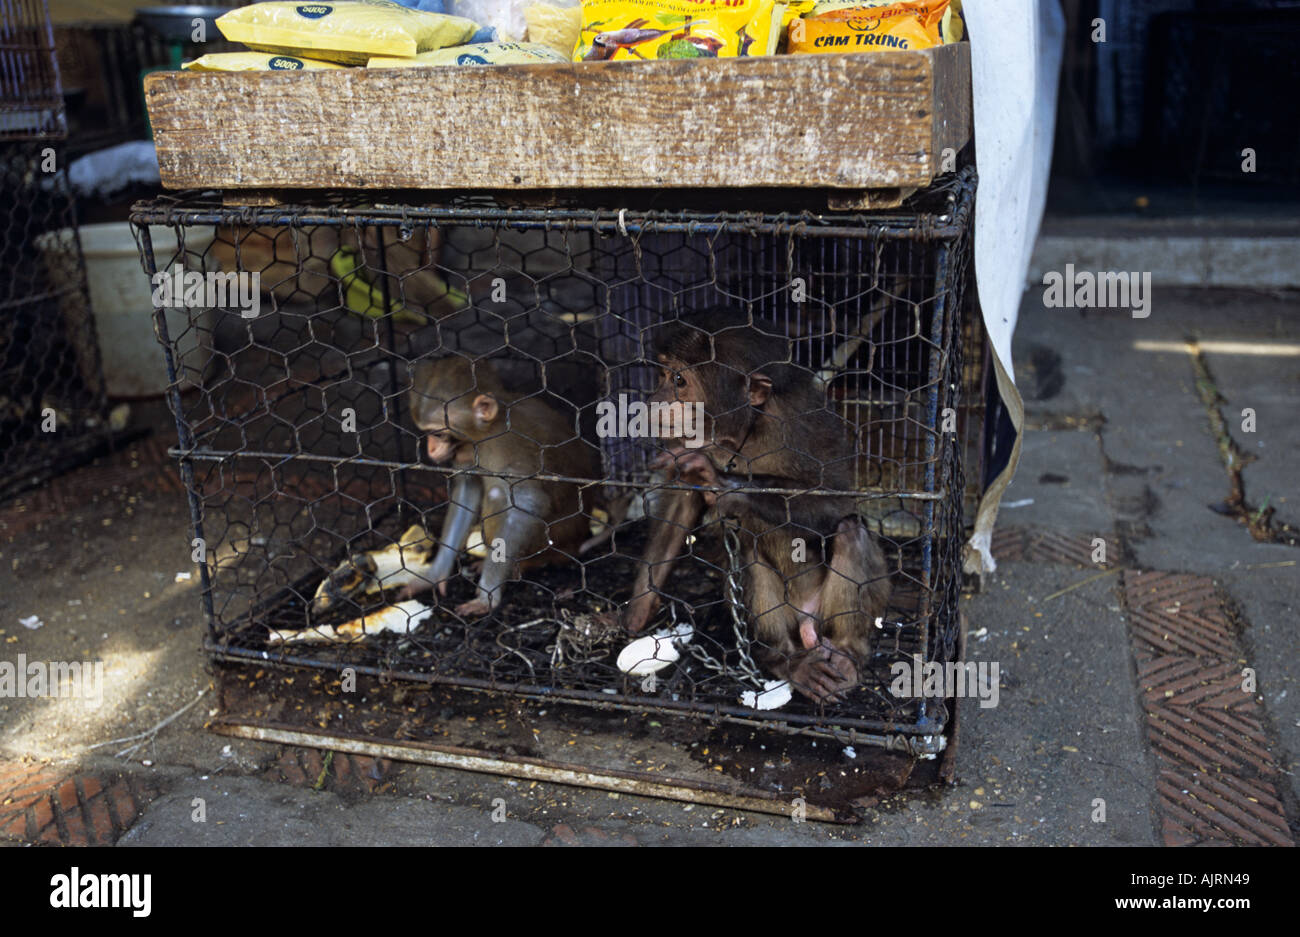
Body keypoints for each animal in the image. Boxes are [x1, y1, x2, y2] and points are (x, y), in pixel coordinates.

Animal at [405, 353, 598, 618]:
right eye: (427, 434)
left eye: (440, 434)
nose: (431, 449)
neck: (489, 432)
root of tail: (577, 541)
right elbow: (467, 492)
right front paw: (435, 575)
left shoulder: (511, 450)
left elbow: (528, 504)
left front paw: (488, 595)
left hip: (557, 539)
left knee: (499, 495)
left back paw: (523, 566)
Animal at [621, 314, 889, 701]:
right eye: (662, 375)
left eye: (679, 381)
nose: (654, 400)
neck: (740, 434)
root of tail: (807, 623)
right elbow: (679, 510)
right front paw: (640, 606)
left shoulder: (798, 424)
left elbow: (836, 498)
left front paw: (724, 484)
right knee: (748, 549)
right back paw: (786, 660)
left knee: (850, 530)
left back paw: (847, 651)